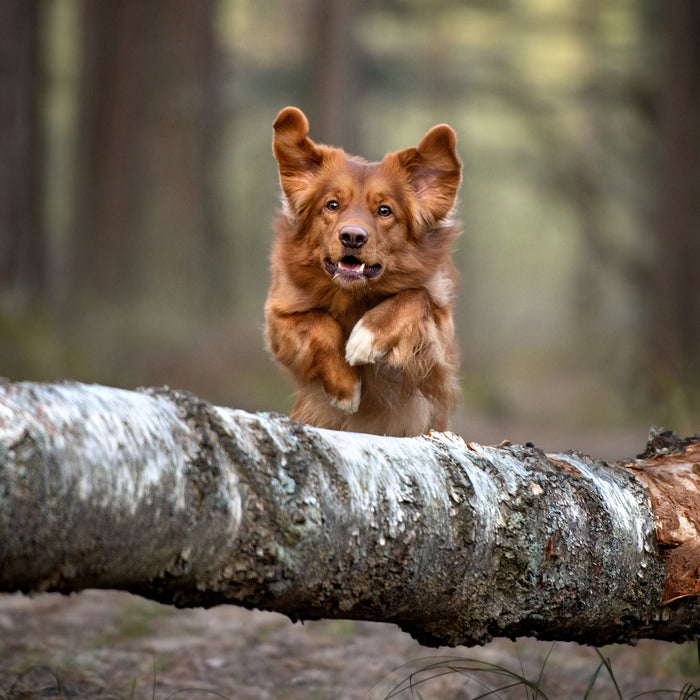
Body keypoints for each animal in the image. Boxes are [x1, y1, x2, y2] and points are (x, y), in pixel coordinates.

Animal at [262, 106, 460, 434]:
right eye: (332, 205)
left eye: (385, 211)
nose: (352, 236)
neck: (353, 295)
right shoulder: (279, 317)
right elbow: (318, 322)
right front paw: (346, 388)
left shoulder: (437, 355)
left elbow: (415, 295)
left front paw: (368, 336)